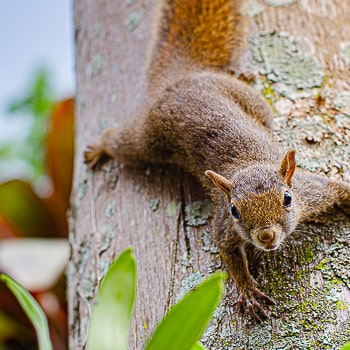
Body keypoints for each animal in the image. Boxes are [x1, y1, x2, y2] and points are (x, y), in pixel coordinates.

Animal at [85, 0, 350, 320]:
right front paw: (247, 290)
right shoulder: (224, 225)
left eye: (287, 199)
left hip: (247, 101)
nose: (266, 236)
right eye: (235, 210)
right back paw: (101, 146)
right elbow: (228, 253)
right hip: (148, 138)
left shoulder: (312, 192)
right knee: (121, 141)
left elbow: (339, 189)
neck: (250, 164)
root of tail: (184, 78)